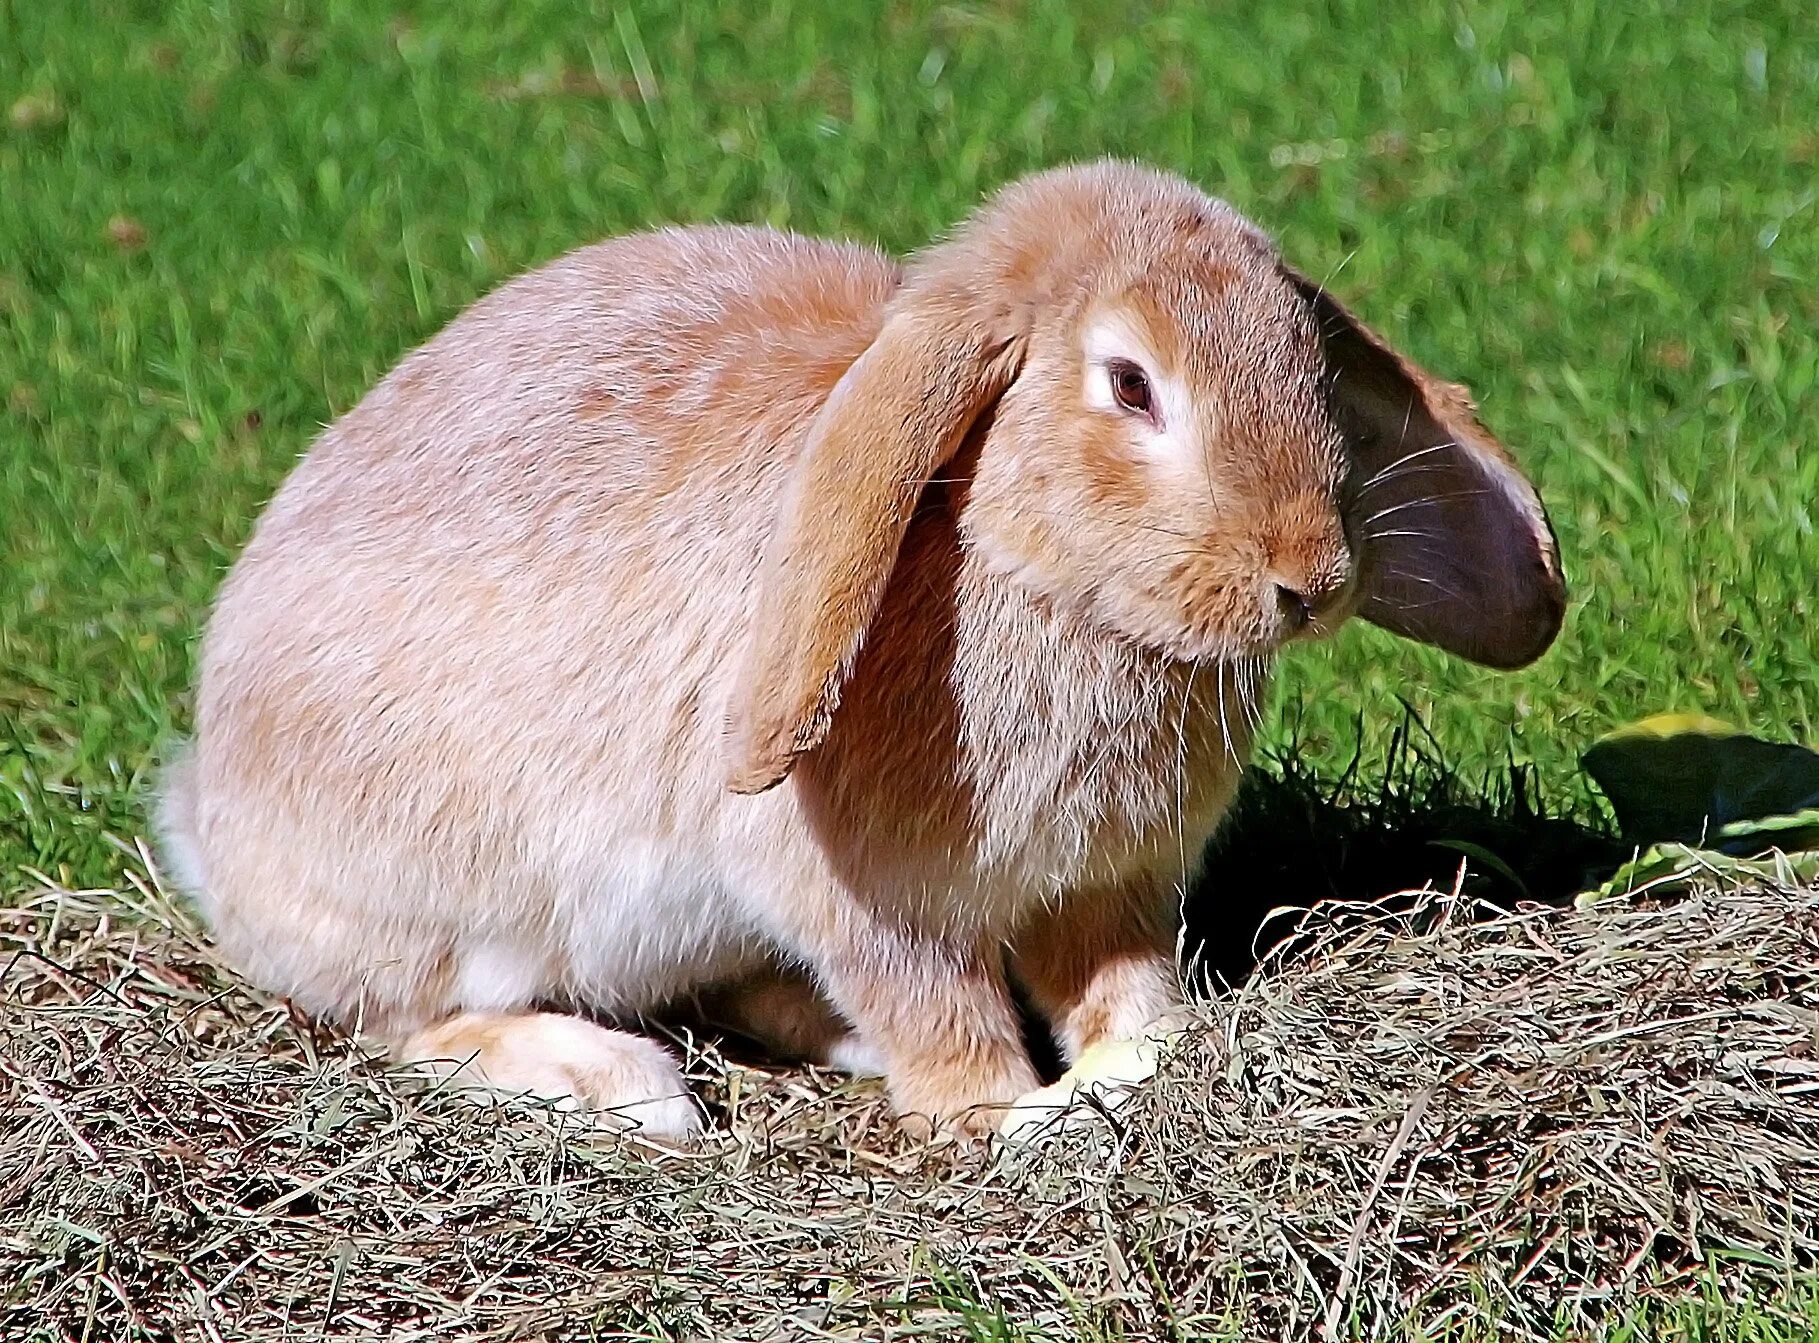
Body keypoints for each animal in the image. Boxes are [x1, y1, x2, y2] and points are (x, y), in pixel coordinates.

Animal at [160, 161, 1564, 1135]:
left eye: (1304, 362)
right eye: (1129, 385)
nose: (1309, 579)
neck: (1030, 572)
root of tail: (205, 810)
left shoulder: (1103, 886)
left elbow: (1118, 986)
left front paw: (1147, 1056)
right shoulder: (870, 903)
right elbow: (936, 1009)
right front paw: (1005, 1118)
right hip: (431, 899)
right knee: (404, 1019)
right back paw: (622, 1087)